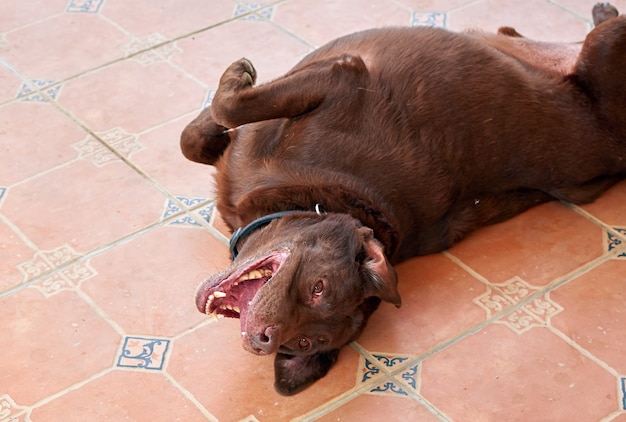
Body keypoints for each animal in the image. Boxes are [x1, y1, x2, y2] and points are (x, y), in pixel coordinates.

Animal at [180, 4, 624, 396]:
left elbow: (228, 107)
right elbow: (197, 138)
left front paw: (233, 81)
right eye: (318, 288)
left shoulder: (341, 74)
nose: (263, 339)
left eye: (304, 341)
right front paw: (214, 110)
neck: (330, 197)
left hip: (605, 46)